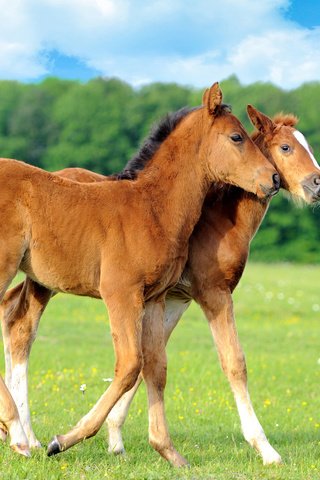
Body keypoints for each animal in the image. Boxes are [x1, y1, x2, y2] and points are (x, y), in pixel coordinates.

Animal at [0, 83, 278, 462]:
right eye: (236, 137)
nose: (273, 178)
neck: (153, 208)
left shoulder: (154, 298)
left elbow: (155, 367)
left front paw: (170, 452)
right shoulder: (120, 292)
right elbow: (131, 364)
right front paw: (66, 439)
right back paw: (18, 434)